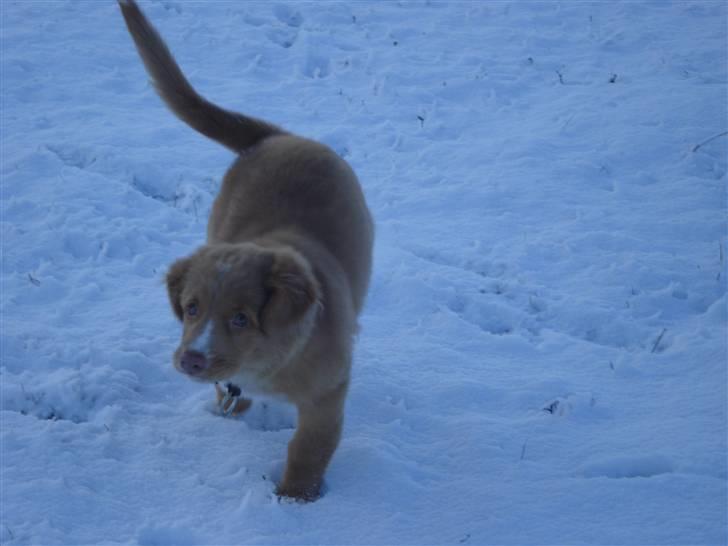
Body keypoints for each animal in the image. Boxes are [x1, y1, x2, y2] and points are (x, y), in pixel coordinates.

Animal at [119, 0, 376, 500]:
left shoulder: (328, 394)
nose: (191, 360)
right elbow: (230, 391)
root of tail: (276, 137)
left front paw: (295, 499)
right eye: (191, 308)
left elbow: (309, 448)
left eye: (241, 318)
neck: (269, 359)